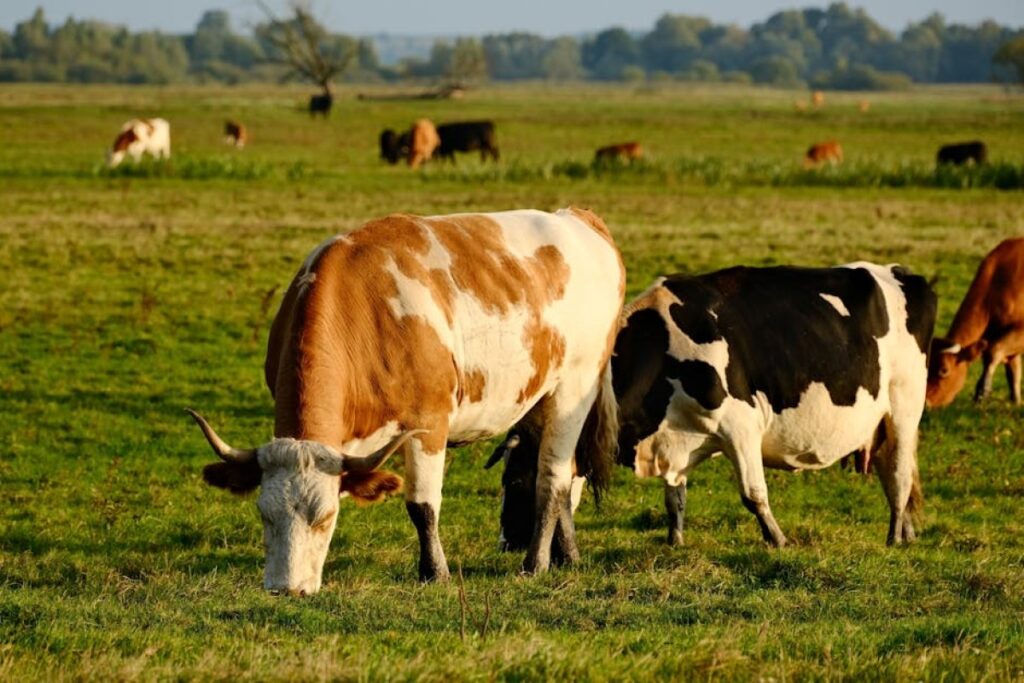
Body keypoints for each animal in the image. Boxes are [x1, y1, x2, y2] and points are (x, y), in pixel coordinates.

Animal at [188, 207, 624, 595]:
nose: (285, 589)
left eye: (326, 518)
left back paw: (535, 563)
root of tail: (579, 218)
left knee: (551, 479)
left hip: (573, 391)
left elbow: (422, 505)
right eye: (264, 515)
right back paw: (567, 556)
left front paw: (435, 573)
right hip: (537, 400)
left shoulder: (429, 422)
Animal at [495, 263, 936, 550]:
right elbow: (674, 498)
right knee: (890, 467)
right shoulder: (676, 437)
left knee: (899, 471)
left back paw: (895, 537)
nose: (506, 542)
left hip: (905, 403)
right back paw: (908, 531)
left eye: (515, 482)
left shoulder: (741, 425)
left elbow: (753, 493)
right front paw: (675, 541)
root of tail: (901, 273)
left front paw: (778, 539)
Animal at [926, 238, 1024, 407]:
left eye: (944, 370)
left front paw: (982, 391)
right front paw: (1016, 402)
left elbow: (994, 351)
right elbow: (1014, 373)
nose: (926, 402)